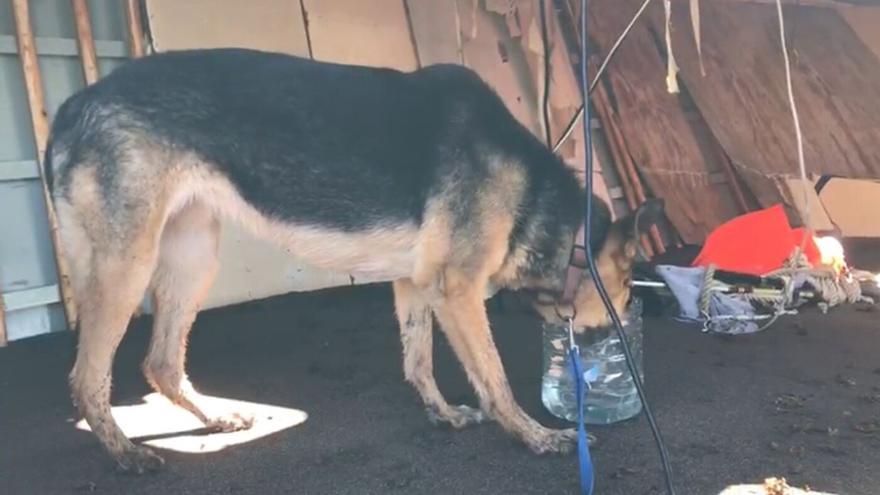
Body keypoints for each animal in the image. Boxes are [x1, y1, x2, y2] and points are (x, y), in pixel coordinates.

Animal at [46, 48, 660, 474]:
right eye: (630, 287)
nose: (624, 343)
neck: (540, 201)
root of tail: (74, 104)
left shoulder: (415, 285)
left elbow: (418, 361)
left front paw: (442, 414)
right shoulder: (457, 291)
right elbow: (495, 377)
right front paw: (534, 437)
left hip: (192, 258)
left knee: (161, 362)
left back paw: (213, 417)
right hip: (127, 267)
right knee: (85, 376)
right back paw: (123, 453)